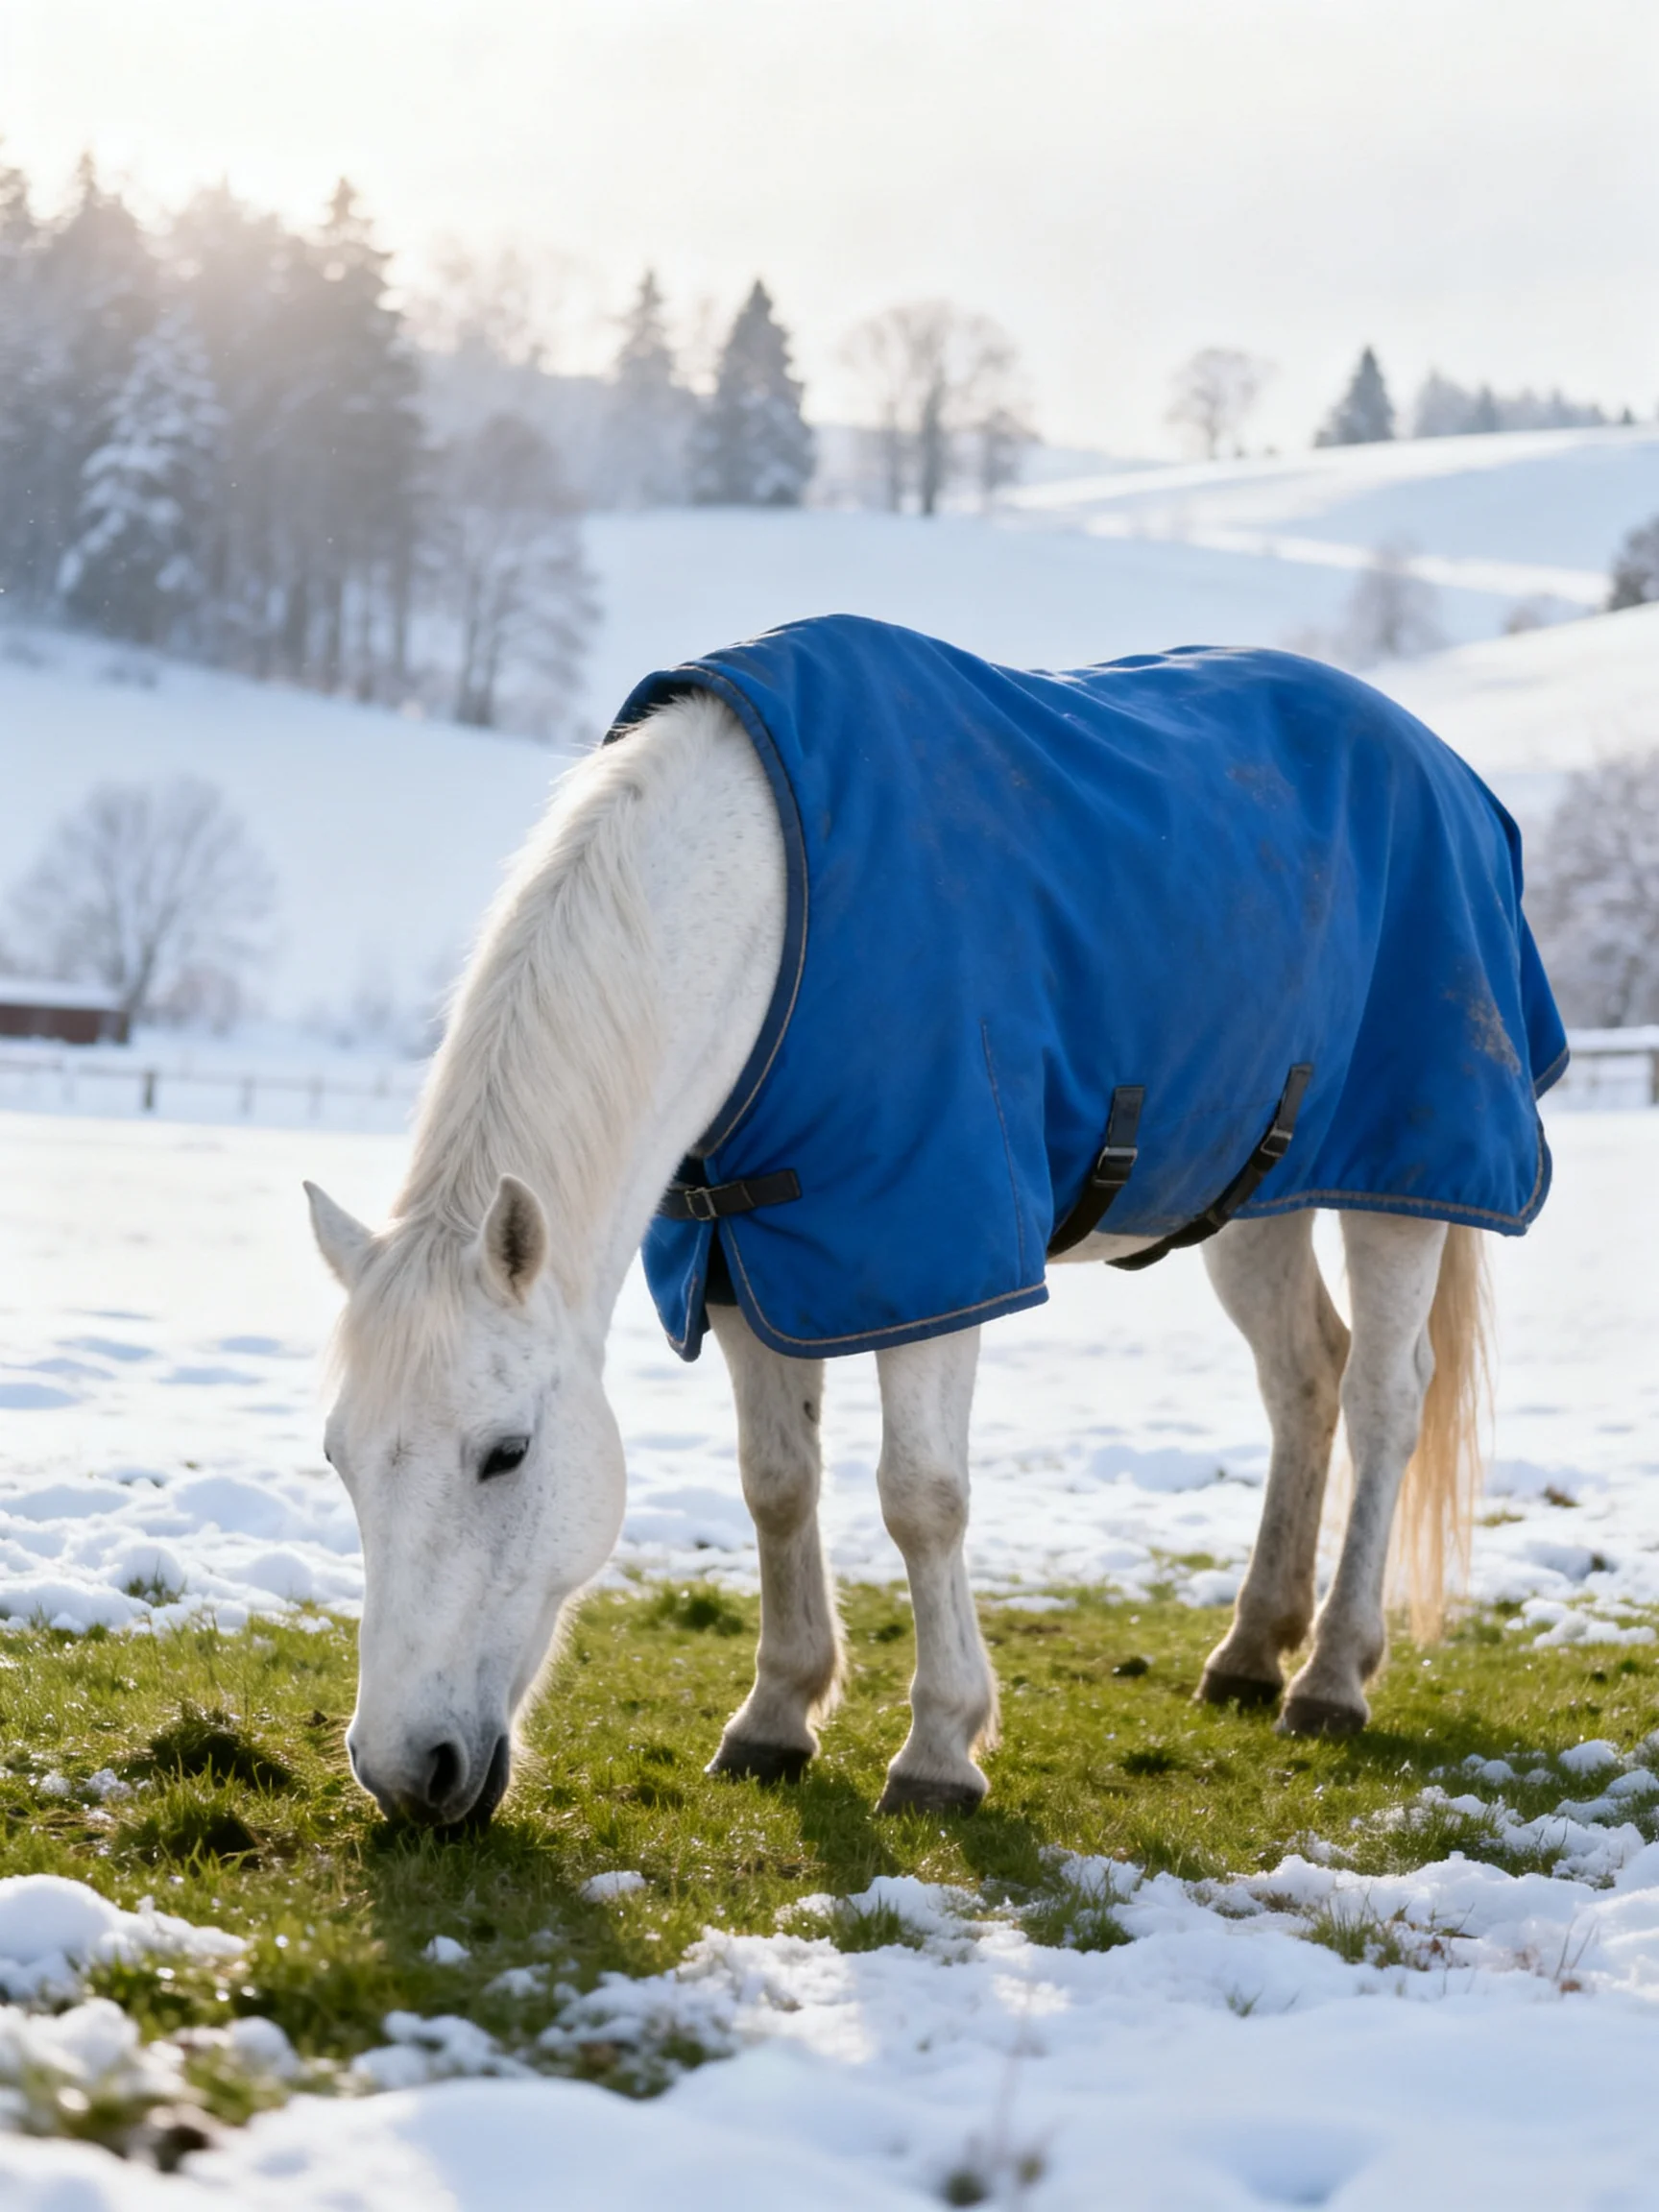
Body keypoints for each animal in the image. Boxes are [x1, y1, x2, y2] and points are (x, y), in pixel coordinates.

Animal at [306, 623, 1560, 1827]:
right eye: (339, 1458)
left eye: (506, 1454)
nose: (406, 1771)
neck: (778, 911)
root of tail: (1448, 774)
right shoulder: (742, 1258)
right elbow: (777, 1482)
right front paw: (776, 1715)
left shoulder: (936, 1251)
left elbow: (921, 1499)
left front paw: (940, 1750)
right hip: (1259, 1197)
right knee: (1304, 1378)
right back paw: (1252, 1651)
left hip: (1400, 1182)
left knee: (1385, 1396)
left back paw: (1332, 1676)